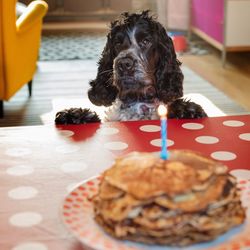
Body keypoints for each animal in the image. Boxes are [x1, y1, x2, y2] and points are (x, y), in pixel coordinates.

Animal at [55, 11, 207, 124]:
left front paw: (185, 110)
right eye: (117, 43)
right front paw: (74, 115)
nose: (123, 64)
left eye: (146, 41)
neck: (138, 102)